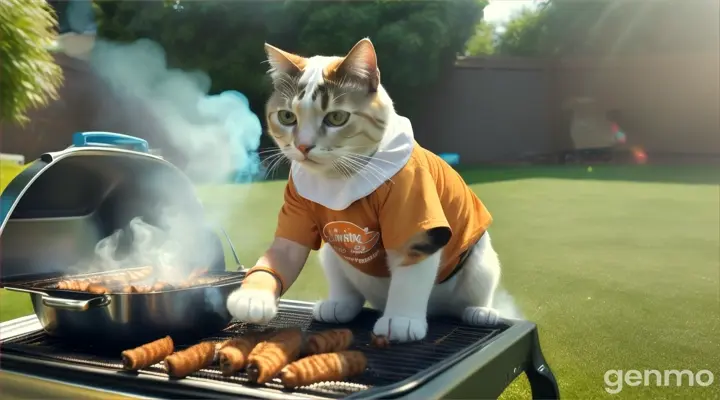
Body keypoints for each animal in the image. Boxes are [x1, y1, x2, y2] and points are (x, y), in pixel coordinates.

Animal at [228, 38, 504, 344]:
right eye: (287, 116)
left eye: (336, 117)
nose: (302, 146)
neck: (339, 175)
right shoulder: (295, 206)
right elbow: (282, 253)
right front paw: (252, 297)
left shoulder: (415, 210)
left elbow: (409, 276)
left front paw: (401, 321)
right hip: (331, 257)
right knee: (347, 286)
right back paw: (338, 305)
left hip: (482, 263)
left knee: (474, 292)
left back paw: (481, 312)